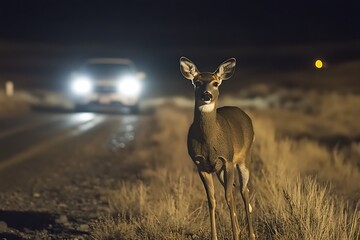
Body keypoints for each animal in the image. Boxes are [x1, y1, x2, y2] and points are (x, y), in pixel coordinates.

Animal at [180, 57, 256, 239]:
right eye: (197, 82)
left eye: (215, 83)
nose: (206, 95)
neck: (209, 140)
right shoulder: (201, 165)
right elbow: (211, 200)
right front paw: (215, 236)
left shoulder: (227, 159)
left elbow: (228, 197)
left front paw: (236, 236)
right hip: (220, 170)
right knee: (236, 190)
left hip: (244, 157)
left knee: (244, 191)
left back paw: (251, 234)